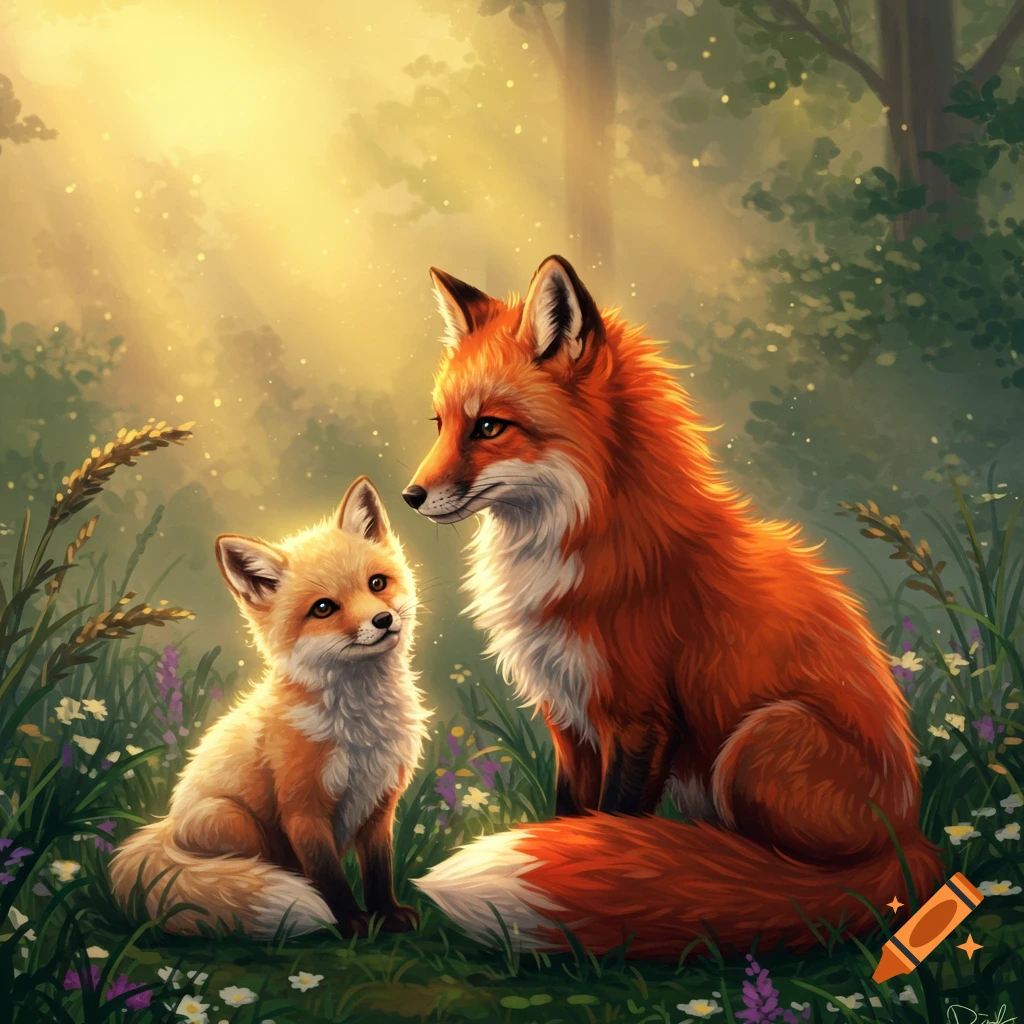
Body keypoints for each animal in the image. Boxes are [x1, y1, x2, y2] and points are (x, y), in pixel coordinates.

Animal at [108, 477, 430, 938]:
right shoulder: (303, 809)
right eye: (323, 608)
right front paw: (349, 921)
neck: (358, 728)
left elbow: (378, 871)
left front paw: (387, 914)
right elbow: (328, 877)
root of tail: (163, 826)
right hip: (233, 819)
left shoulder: (378, 803)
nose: (383, 620)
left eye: (376, 583)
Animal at [401, 255, 943, 957]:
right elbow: (572, 820)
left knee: (786, 876)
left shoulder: (640, 719)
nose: (409, 496)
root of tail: (909, 839)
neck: (585, 540)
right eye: (440, 425)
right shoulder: (568, 716)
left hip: (762, 737)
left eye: (489, 427)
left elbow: (612, 821)